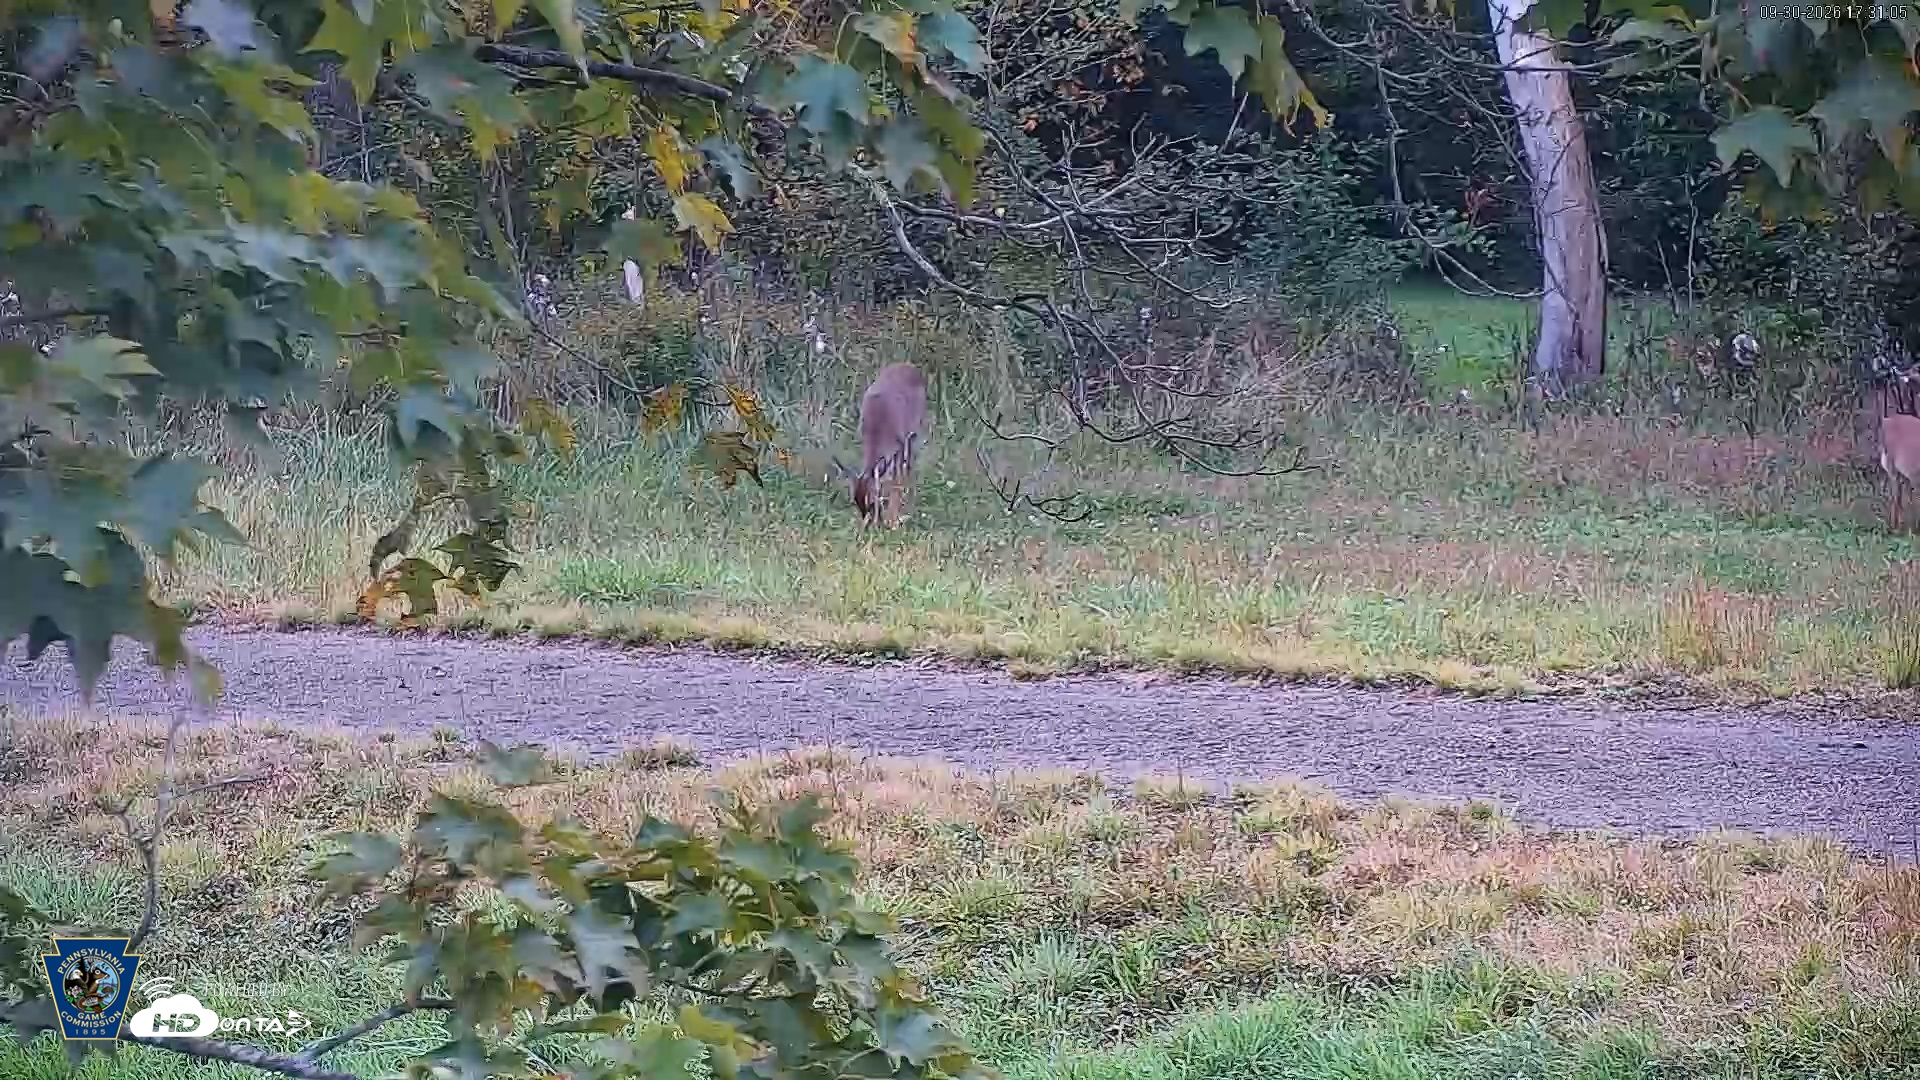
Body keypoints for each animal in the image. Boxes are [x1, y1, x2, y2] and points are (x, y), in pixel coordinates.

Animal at [831, 363, 928, 528]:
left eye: (871, 501)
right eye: (855, 501)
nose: (869, 522)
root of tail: (909, 367)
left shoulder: (899, 446)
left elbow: (896, 480)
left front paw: (892, 521)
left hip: (913, 434)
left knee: (909, 467)